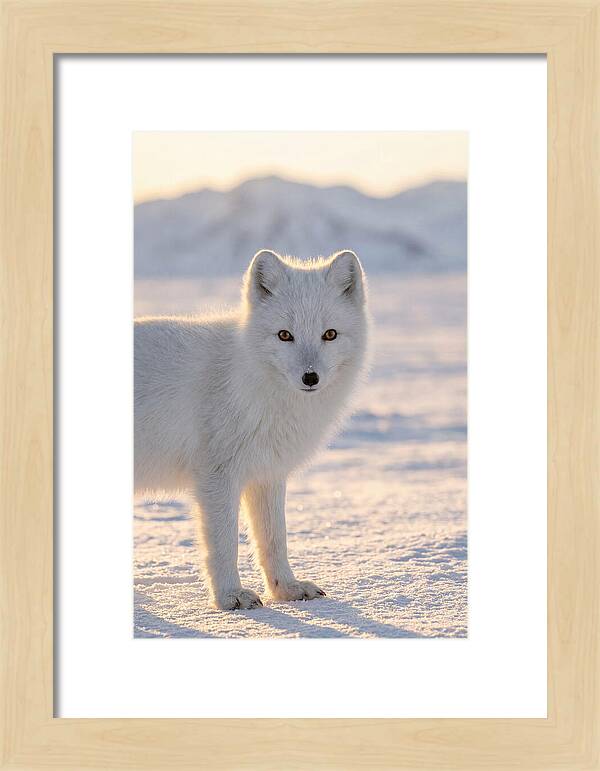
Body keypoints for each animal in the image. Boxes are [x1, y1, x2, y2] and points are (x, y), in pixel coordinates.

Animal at [134, 249, 370, 610]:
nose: (310, 377)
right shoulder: (217, 476)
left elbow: (274, 539)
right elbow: (224, 545)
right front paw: (230, 597)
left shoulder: (267, 474)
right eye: (285, 335)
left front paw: (286, 590)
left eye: (329, 334)